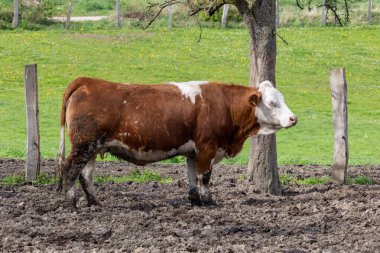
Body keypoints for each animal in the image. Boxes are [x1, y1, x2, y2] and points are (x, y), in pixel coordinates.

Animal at [55, 78, 296, 209]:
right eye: (272, 103)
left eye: (282, 99)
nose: (294, 118)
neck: (224, 105)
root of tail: (87, 81)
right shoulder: (207, 147)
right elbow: (204, 177)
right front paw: (208, 200)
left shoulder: (193, 152)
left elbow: (191, 176)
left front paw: (195, 200)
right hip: (83, 146)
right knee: (69, 170)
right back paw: (72, 203)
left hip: (93, 148)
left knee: (86, 176)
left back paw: (95, 203)